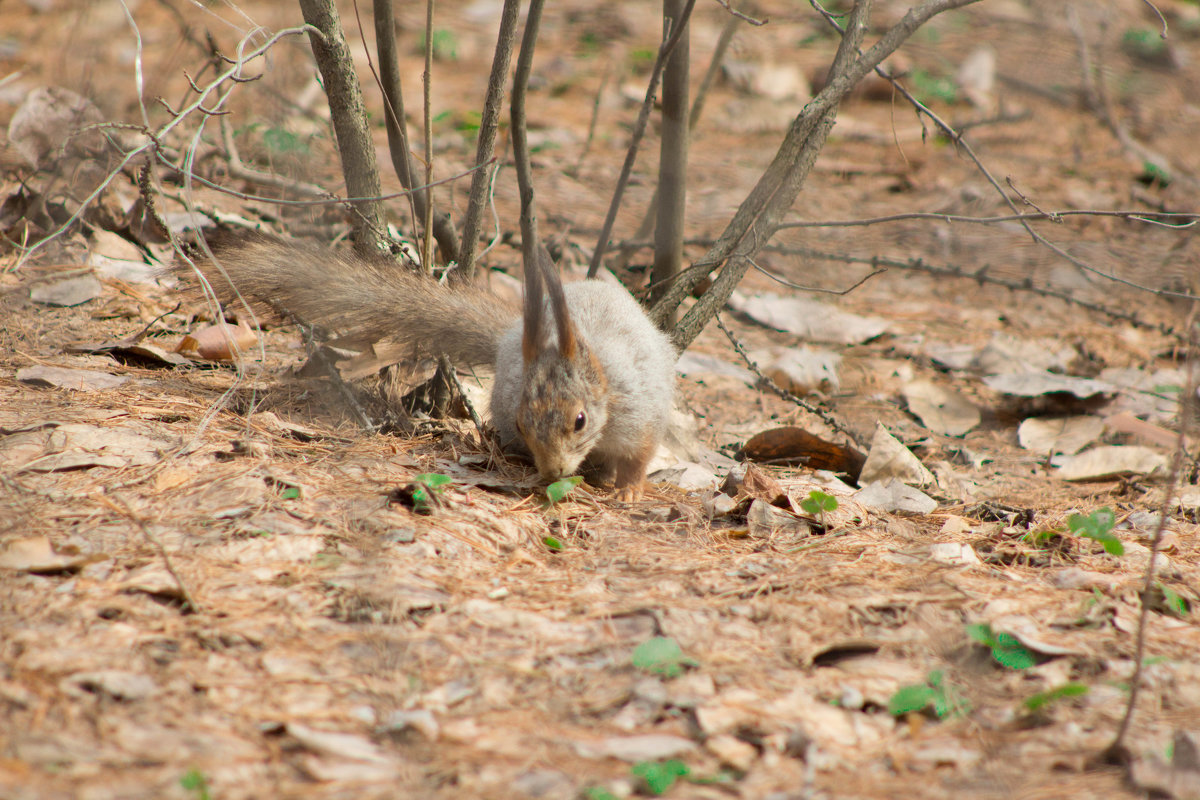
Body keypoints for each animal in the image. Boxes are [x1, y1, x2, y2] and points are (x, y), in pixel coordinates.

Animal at [182, 237, 681, 501]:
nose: (553, 472)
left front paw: (629, 489)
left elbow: (640, 454)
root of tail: (513, 336)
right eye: (523, 421)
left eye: (580, 420)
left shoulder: (639, 411)